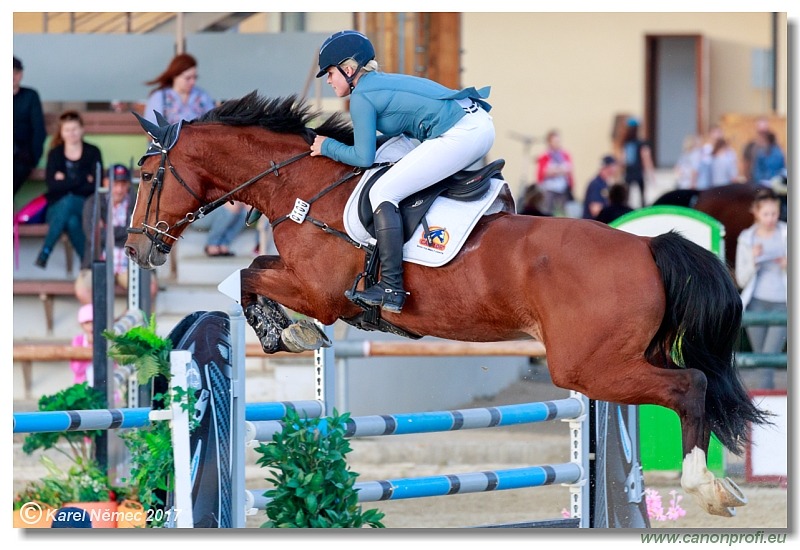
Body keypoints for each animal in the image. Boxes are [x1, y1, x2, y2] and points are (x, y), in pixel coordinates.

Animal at [125, 92, 768, 520]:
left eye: (149, 175)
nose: (135, 248)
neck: (303, 190)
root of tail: (646, 245)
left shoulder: (320, 291)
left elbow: (243, 277)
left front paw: (284, 332)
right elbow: (249, 274)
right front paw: (288, 332)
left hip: (588, 367)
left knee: (689, 387)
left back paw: (705, 487)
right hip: (622, 357)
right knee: (692, 384)